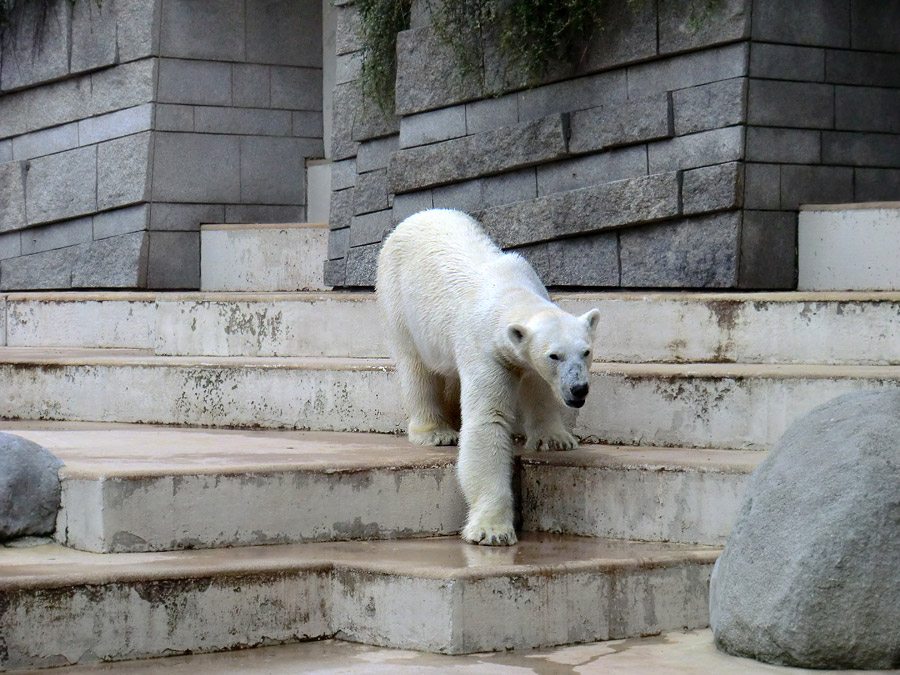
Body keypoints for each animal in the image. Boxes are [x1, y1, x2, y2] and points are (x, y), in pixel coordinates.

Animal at [374, 209, 596, 548]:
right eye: (554, 355)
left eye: (586, 351)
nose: (578, 389)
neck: (509, 292)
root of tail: (416, 216)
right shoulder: (485, 348)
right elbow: (487, 420)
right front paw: (492, 529)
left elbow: (539, 391)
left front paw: (555, 439)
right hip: (397, 300)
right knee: (416, 369)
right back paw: (436, 431)